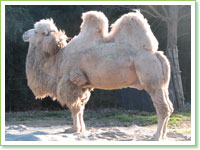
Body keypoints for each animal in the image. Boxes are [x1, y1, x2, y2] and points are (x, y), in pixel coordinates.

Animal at [22, 10, 173, 141]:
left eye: (36, 31)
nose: (24, 33)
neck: (58, 59)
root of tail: (156, 55)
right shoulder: (83, 85)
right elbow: (81, 108)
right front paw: (81, 129)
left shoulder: (70, 82)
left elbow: (74, 108)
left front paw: (74, 129)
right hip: (162, 84)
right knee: (169, 106)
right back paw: (164, 135)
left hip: (151, 79)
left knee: (162, 108)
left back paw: (156, 136)